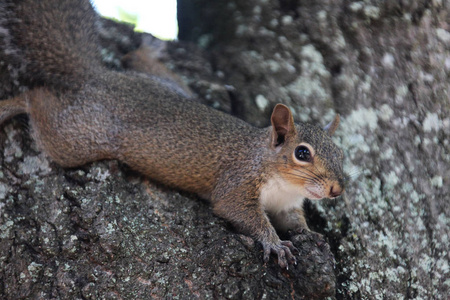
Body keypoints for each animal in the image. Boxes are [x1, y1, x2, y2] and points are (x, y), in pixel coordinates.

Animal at [0, 0, 344, 268]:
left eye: (341, 154)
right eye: (302, 153)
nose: (336, 190)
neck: (281, 178)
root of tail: (97, 77)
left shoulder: (286, 205)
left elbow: (294, 221)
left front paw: (311, 234)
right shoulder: (238, 183)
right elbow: (239, 212)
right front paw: (273, 243)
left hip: (165, 85)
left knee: (134, 59)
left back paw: (150, 49)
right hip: (77, 136)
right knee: (37, 101)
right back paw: (13, 104)